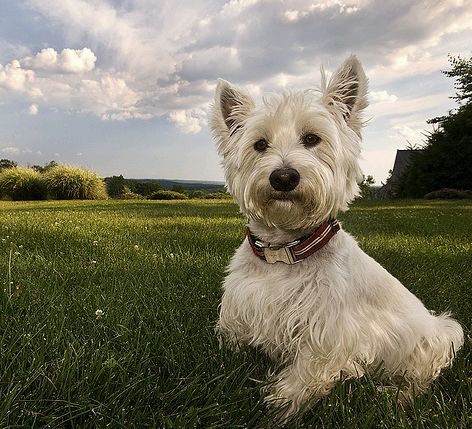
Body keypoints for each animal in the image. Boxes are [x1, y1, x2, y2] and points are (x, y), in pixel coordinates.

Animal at [209, 55, 460, 416]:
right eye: (260, 144)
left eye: (312, 139)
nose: (283, 177)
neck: (283, 251)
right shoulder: (241, 308)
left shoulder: (329, 333)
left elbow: (309, 370)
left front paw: (282, 403)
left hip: (441, 335)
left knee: (420, 379)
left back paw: (394, 397)